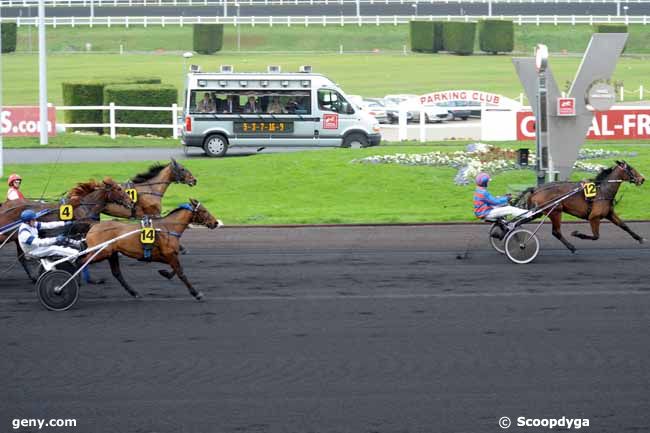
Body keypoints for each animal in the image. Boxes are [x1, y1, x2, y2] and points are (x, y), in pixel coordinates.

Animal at [0, 178, 134, 280]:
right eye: (118, 189)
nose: (131, 202)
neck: (83, 207)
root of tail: (5, 206)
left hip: (16, 238)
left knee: (21, 258)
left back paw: (33, 277)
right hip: (9, 235)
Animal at [83, 199, 223, 300]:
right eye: (204, 211)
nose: (215, 223)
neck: (168, 228)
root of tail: (94, 226)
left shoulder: (165, 255)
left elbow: (176, 269)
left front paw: (164, 272)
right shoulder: (168, 254)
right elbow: (181, 272)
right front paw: (196, 293)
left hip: (111, 253)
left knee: (117, 273)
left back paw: (134, 292)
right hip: (100, 252)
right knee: (81, 262)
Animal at [512, 160, 640, 251]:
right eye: (631, 169)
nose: (642, 179)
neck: (603, 191)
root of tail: (536, 189)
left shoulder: (609, 213)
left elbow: (624, 225)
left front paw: (639, 238)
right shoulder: (594, 217)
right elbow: (596, 236)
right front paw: (577, 234)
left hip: (538, 212)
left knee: (519, 222)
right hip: (555, 211)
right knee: (556, 232)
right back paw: (571, 247)